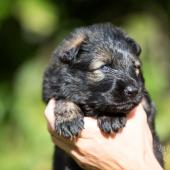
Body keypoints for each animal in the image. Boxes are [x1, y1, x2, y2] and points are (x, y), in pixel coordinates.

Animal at [42, 23, 163, 169]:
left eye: (135, 67)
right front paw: (68, 120)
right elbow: (63, 98)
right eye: (105, 67)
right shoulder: (52, 87)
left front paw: (111, 117)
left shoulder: (145, 99)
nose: (133, 91)